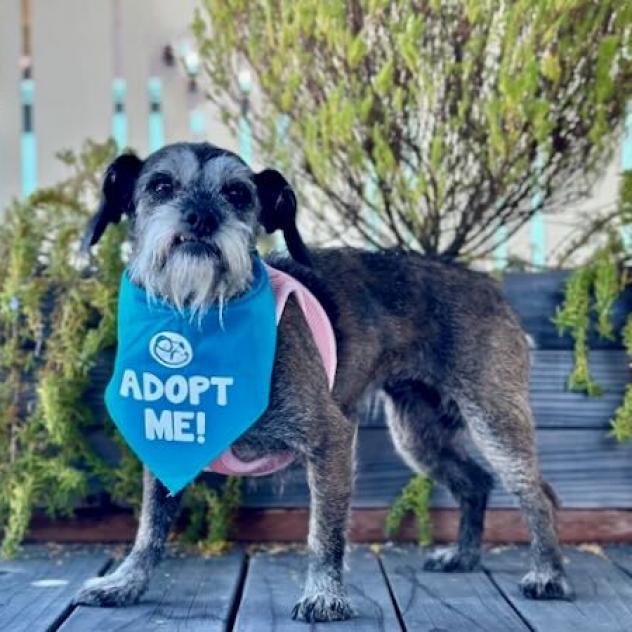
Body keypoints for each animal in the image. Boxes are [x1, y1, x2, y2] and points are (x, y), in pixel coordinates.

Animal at [76, 142, 576, 624]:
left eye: (238, 194)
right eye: (160, 185)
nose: (202, 218)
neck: (201, 317)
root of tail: (487, 285)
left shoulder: (331, 440)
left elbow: (325, 534)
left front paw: (324, 595)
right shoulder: (165, 441)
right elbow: (149, 528)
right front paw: (125, 583)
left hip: (494, 422)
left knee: (535, 495)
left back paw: (548, 574)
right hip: (420, 434)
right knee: (474, 482)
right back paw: (465, 555)